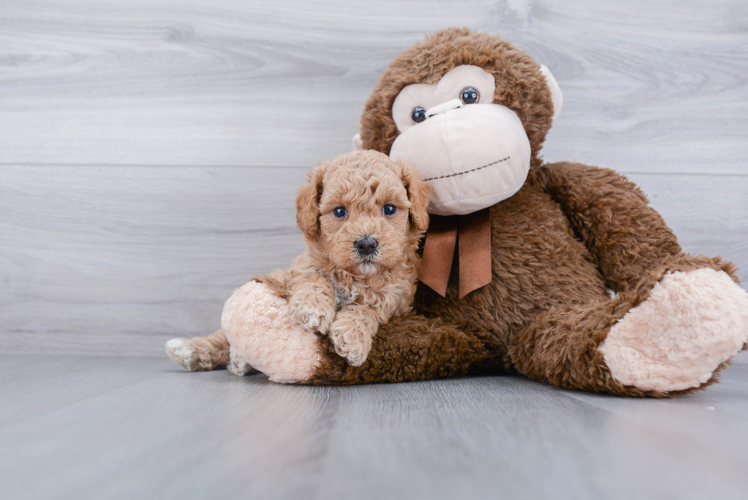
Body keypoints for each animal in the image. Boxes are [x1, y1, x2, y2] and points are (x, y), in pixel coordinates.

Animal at [167, 150, 430, 374]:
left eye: (389, 209)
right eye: (339, 211)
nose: (366, 244)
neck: (354, 276)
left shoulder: (398, 298)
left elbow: (370, 308)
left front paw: (352, 336)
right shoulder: (297, 270)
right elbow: (314, 276)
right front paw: (313, 308)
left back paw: (238, 361)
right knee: (224, 336)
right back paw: (192, 350)